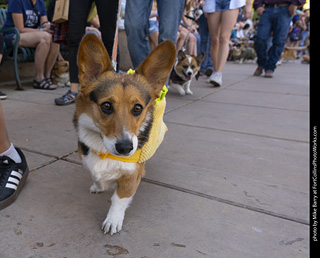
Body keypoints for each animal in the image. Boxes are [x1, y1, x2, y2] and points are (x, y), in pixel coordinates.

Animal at [74, 33, 176, 235]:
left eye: (137, 108)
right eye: (106, 105)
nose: (125, 148)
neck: (104, 149)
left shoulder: (131, 176)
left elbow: (118, 199)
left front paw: (112, 221)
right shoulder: (86, 158)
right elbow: (95, 175)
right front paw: (98, 186)